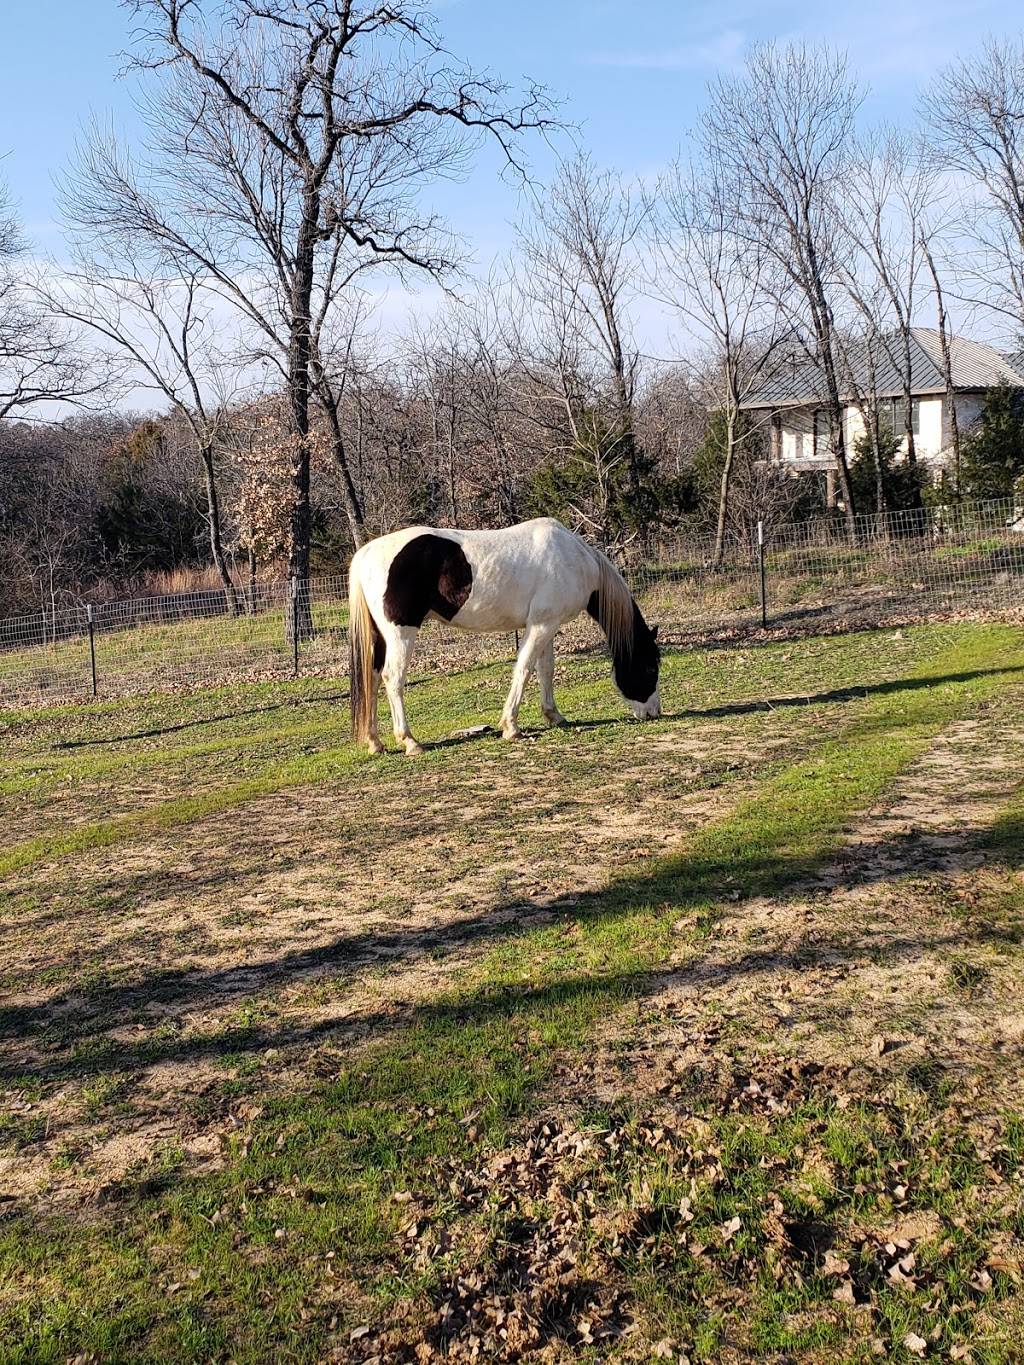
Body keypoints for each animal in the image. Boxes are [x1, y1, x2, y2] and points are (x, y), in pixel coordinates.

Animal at [349, 518, 660, 758]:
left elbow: (546, 670)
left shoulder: (548, 625)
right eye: (650, 668)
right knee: (392, 679)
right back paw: (410, 742)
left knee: (373, 679)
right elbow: (524, 669)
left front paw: (554, 716)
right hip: (401, 634)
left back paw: (375, 743)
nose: (654, 713)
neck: (575, 559)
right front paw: (511, 727)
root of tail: (366, 553)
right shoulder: (541, 626)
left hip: (380, 638)